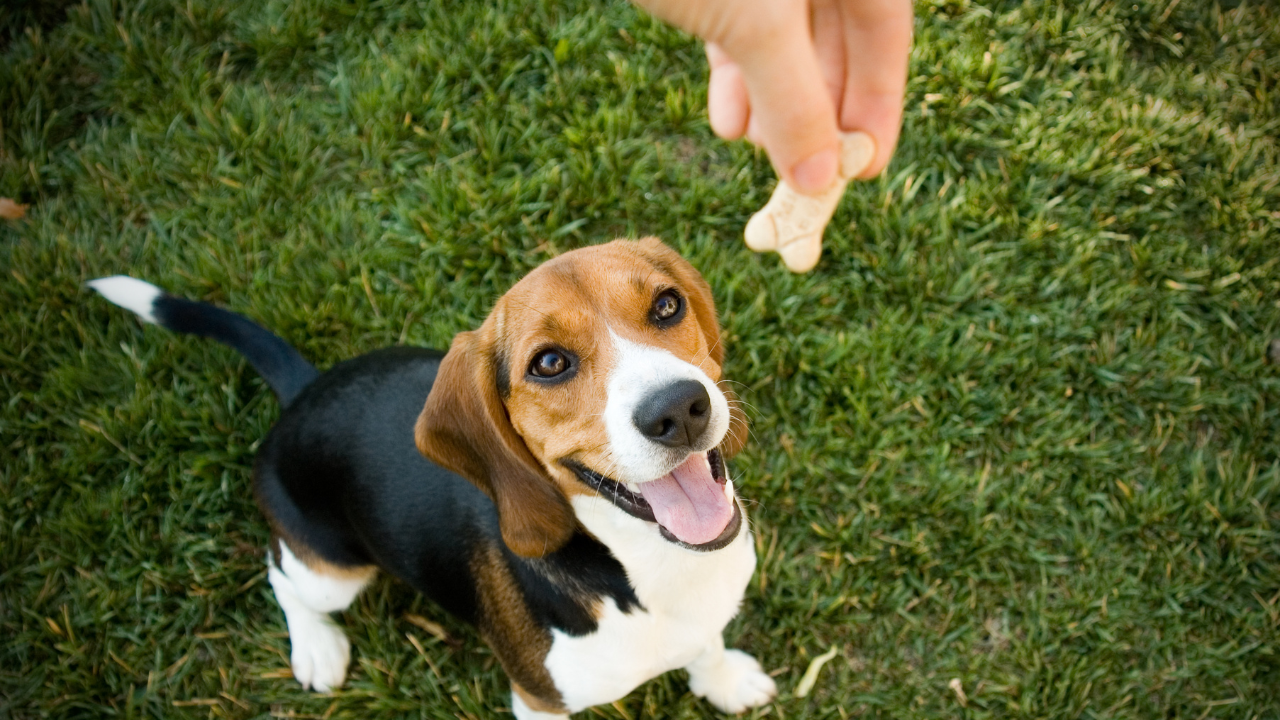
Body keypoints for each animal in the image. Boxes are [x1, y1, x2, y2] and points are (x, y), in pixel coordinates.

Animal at [90, 239, 773, 717]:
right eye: (550, 363)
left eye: (666, 304)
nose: (678, 408)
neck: (649, 564)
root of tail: (305, 390)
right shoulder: (540, 703)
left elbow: (709, 644)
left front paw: (723, 680)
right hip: (333, 573)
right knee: (282, 574)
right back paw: (316, 645)